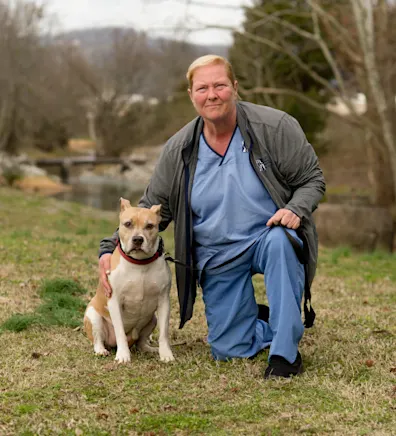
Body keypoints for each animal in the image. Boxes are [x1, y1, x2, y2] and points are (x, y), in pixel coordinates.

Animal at [84, 199, 174, 362]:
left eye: (149, 226)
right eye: (127, 224)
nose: (138, 239)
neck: (140, 263)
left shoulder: (164, 300)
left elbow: (164, 332)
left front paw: (166, 354)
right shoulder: (114, 301)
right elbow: (119, 331)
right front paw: (123, 356)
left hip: (152, 319)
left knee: (141, 342)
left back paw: (150, 349)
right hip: (93, 317)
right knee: (98, 339)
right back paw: (101, 350)